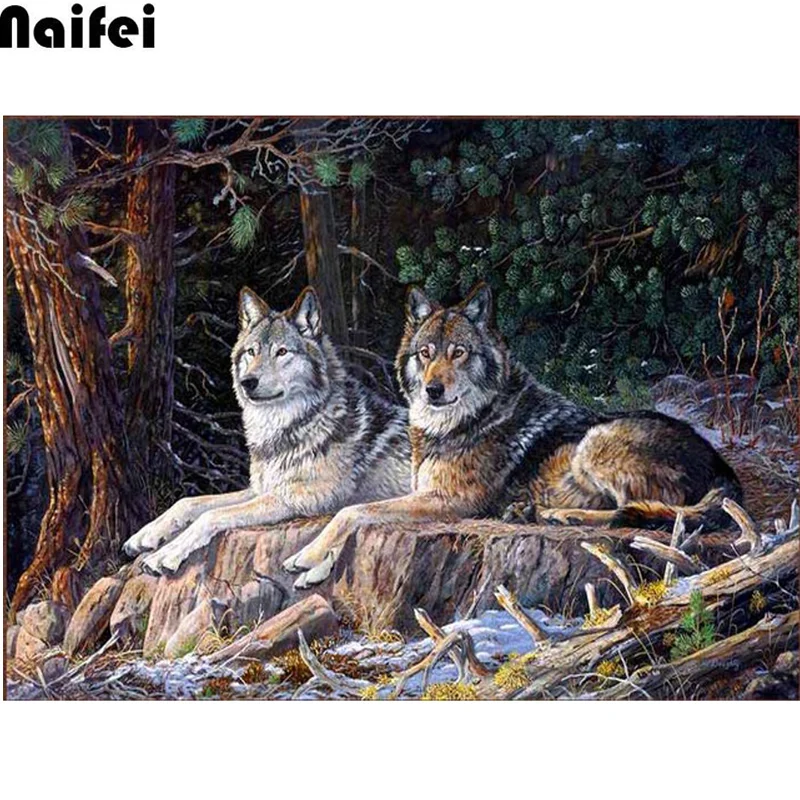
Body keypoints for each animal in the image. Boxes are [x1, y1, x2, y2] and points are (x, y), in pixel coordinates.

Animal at [125, 285, 411, 575]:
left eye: (282, 352)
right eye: (251, 352)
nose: (247, 382)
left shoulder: (298, 496)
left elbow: (210, 515)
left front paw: (167, 553)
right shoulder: (261, 488)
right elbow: (189, 502)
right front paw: (144, 535)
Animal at [283, 282, 743, 588]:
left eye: (459, 352)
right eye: (425, 353)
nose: (433, 390)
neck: (464, 421)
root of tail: (724, 466)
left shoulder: (449, 502)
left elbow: (353, 512)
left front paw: (306, 556)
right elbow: (359, 515)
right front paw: (315, 569)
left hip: (594, 445)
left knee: (638, 512)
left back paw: (558, 516)